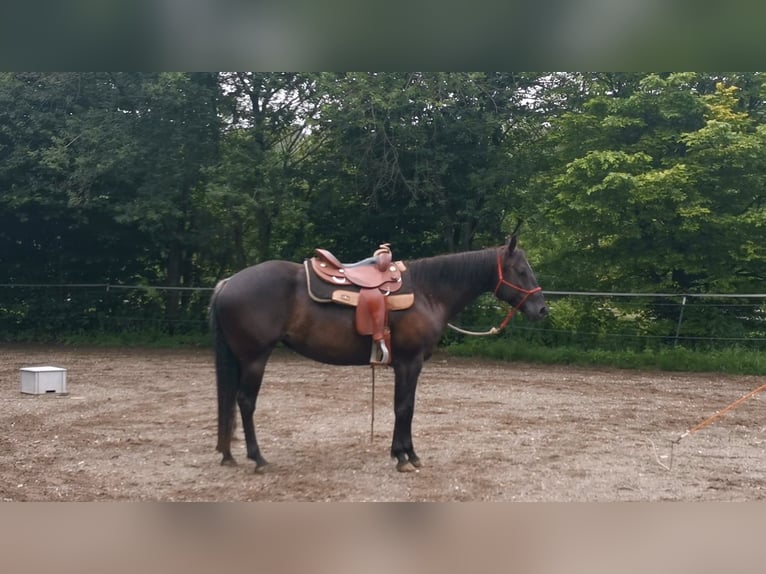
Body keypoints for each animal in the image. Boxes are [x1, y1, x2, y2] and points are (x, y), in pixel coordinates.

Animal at [207, 233, 548, 472]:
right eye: (521, 270)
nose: (542, 309)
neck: (427, 291)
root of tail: (228, 282)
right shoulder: (409, 363)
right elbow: (404, 407)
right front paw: (405, 457)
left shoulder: (406, 365)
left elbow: (405, 407)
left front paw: (405, 453)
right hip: (254, 358)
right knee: (245, 402)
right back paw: (258, 458)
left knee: (232, 401)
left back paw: (228, 454)